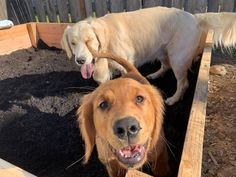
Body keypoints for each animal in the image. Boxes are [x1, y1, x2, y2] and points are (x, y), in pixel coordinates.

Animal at [61, 6, 236, 104]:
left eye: (89, 41)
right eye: (73, 43)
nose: (80, 60)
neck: (107, 38)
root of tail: (194, 17)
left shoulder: (126, 64)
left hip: (178, 58)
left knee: (183, 83)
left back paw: (173, 99)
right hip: (163, 51)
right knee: (165, 66)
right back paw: (154, 75)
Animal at [77, 44, 170, 177]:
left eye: (139, 98)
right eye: (103, 104)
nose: (127, 127)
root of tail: (131, 71)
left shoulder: (161, 150)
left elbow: (161, 167)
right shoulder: (110, 164)